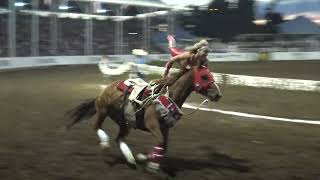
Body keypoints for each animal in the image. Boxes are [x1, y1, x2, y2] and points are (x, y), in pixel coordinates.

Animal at [67, 65, 222, 172]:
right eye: (204, 76)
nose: (218, 95)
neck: (167, 96)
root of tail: (104, 90)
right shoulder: (152, 124)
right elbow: (160, 142)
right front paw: (147, 160)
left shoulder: (165, 128)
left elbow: (164, 146)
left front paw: (150, 162)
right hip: (103, 111)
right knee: (97, 126)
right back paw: (105, 144)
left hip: (125, 122)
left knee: (119, 139)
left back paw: (130, 159)